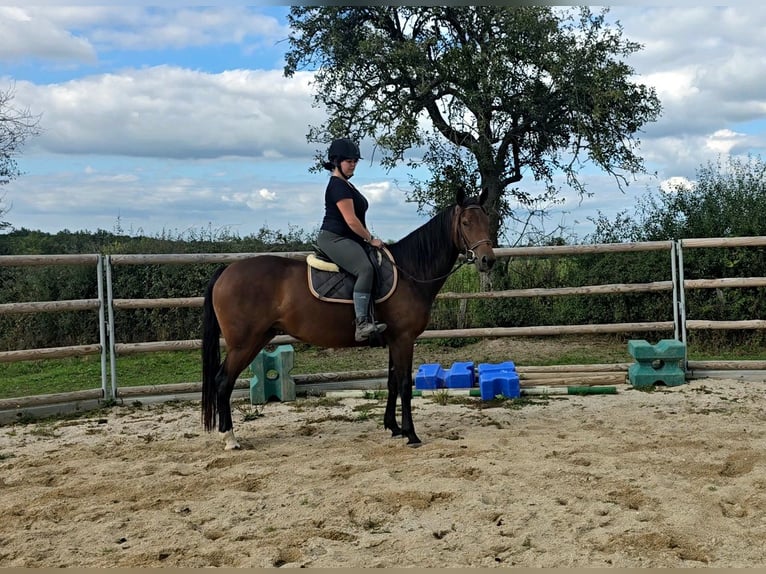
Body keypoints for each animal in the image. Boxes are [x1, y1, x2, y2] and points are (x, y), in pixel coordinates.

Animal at [201, 187, 496, 452]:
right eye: (466, 223)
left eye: (487, 221)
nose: (487, 260)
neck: (409, 272)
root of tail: (227, 270)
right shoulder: (404, 339)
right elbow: (404, 384)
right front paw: (411, 434)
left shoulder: (394, 340)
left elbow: (391, 382)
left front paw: (393, 427)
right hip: (244, 344)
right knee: (223, 382)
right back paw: (230, 439)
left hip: (259, 338)